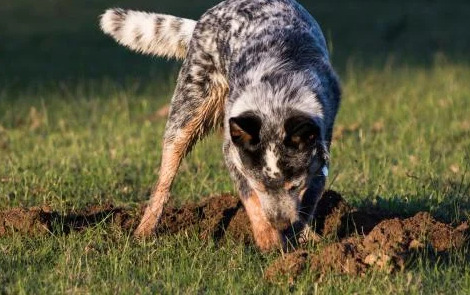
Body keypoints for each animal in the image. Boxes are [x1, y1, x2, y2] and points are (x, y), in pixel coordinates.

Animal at [101, 0, 340, 252]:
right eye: (259, 185)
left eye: (294, 186)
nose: (280, 224)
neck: (276, 94)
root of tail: (203, 19)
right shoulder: (233, 153)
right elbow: (250, 198)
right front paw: (268, 240)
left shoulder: (321, 152)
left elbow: (309, 199)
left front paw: (302, 239)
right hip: (187, 113)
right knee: (163, 181)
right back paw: (144, 231)